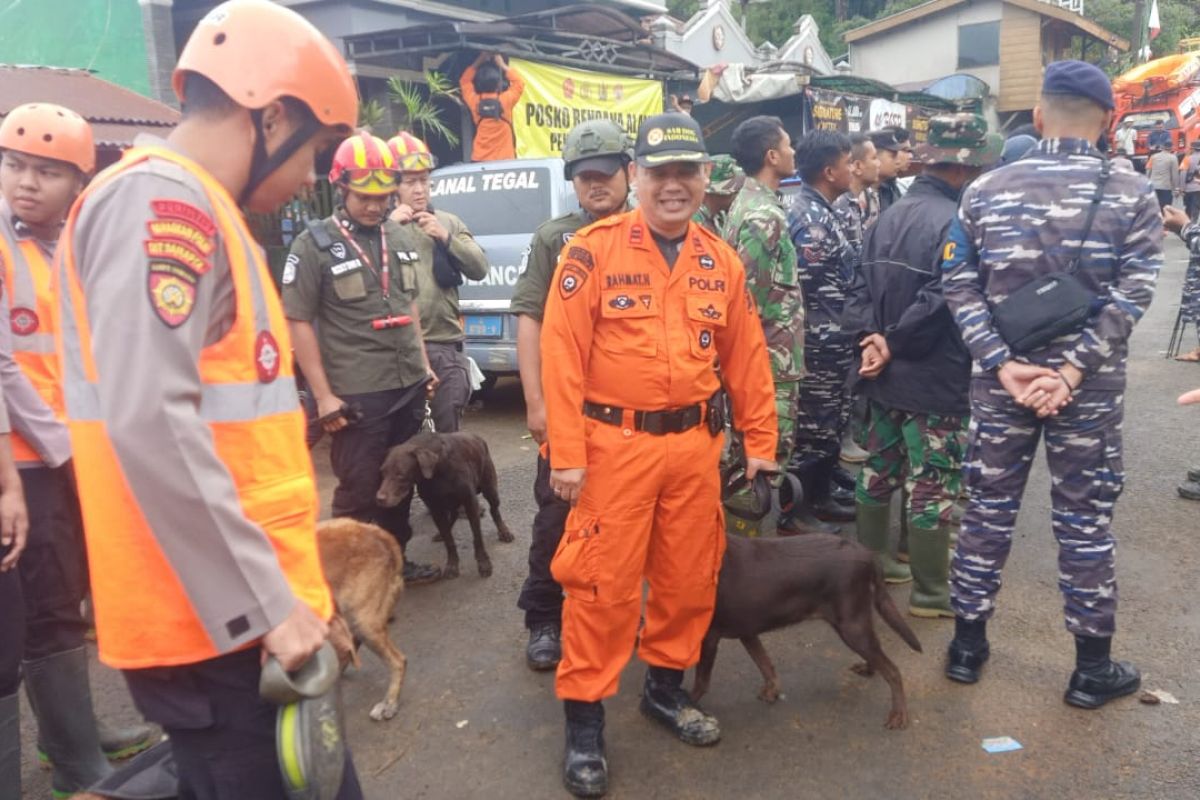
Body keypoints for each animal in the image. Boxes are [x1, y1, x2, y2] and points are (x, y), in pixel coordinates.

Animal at [376, 434, 513, 578]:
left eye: (400, 475)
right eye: (382, 472)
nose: (379, 499)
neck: (437, 470)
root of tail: (477, 438)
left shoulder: (470, 503)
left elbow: (477, 537)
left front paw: (483, 563)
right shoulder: (435, 509)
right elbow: (449, 540)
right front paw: (452, 564)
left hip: (490, 489)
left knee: (494, 510)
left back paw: (504, 531)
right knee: (453, 516)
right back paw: (441, 533)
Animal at [696, 534, 916, 729]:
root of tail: (867, 554)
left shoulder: (708, 637)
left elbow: (700, 682)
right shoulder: (747, 630)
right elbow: (764, 663)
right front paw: (772, 691)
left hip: (851, 626)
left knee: (893, 670)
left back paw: (899, 714)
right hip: (857, 622)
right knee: (877, 651)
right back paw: (869, 669)